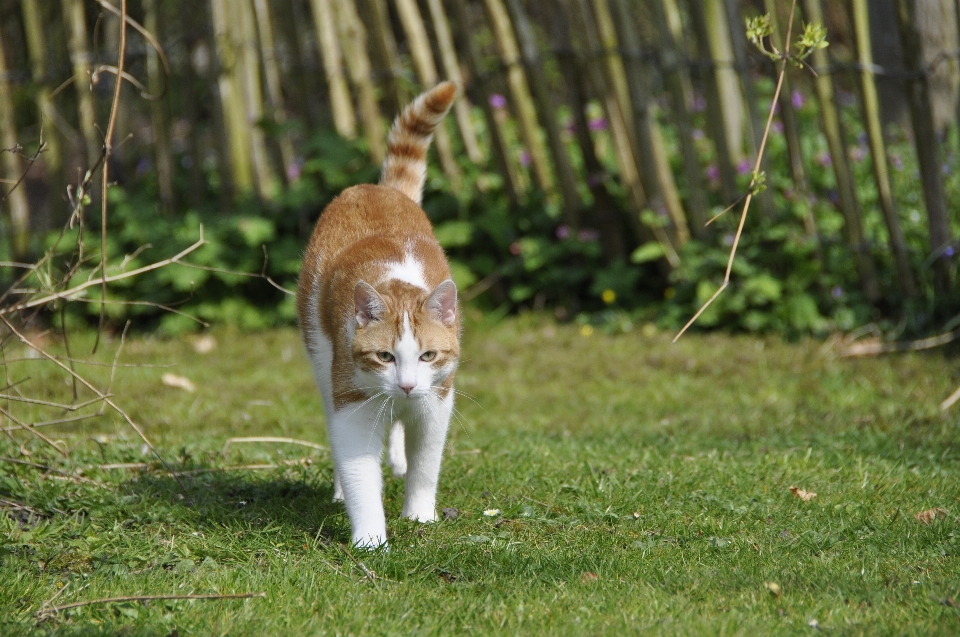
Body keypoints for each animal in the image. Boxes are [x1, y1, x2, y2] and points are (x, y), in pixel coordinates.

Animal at [298, 80, 464, 548]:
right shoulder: (351, 404)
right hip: (323, 363)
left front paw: (420, 515)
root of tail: (375, 188)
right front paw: (370, 538)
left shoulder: (436, 401)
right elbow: (358, 471)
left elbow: (426, 463)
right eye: (384, 357)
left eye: (428, 355)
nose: (405, 385)